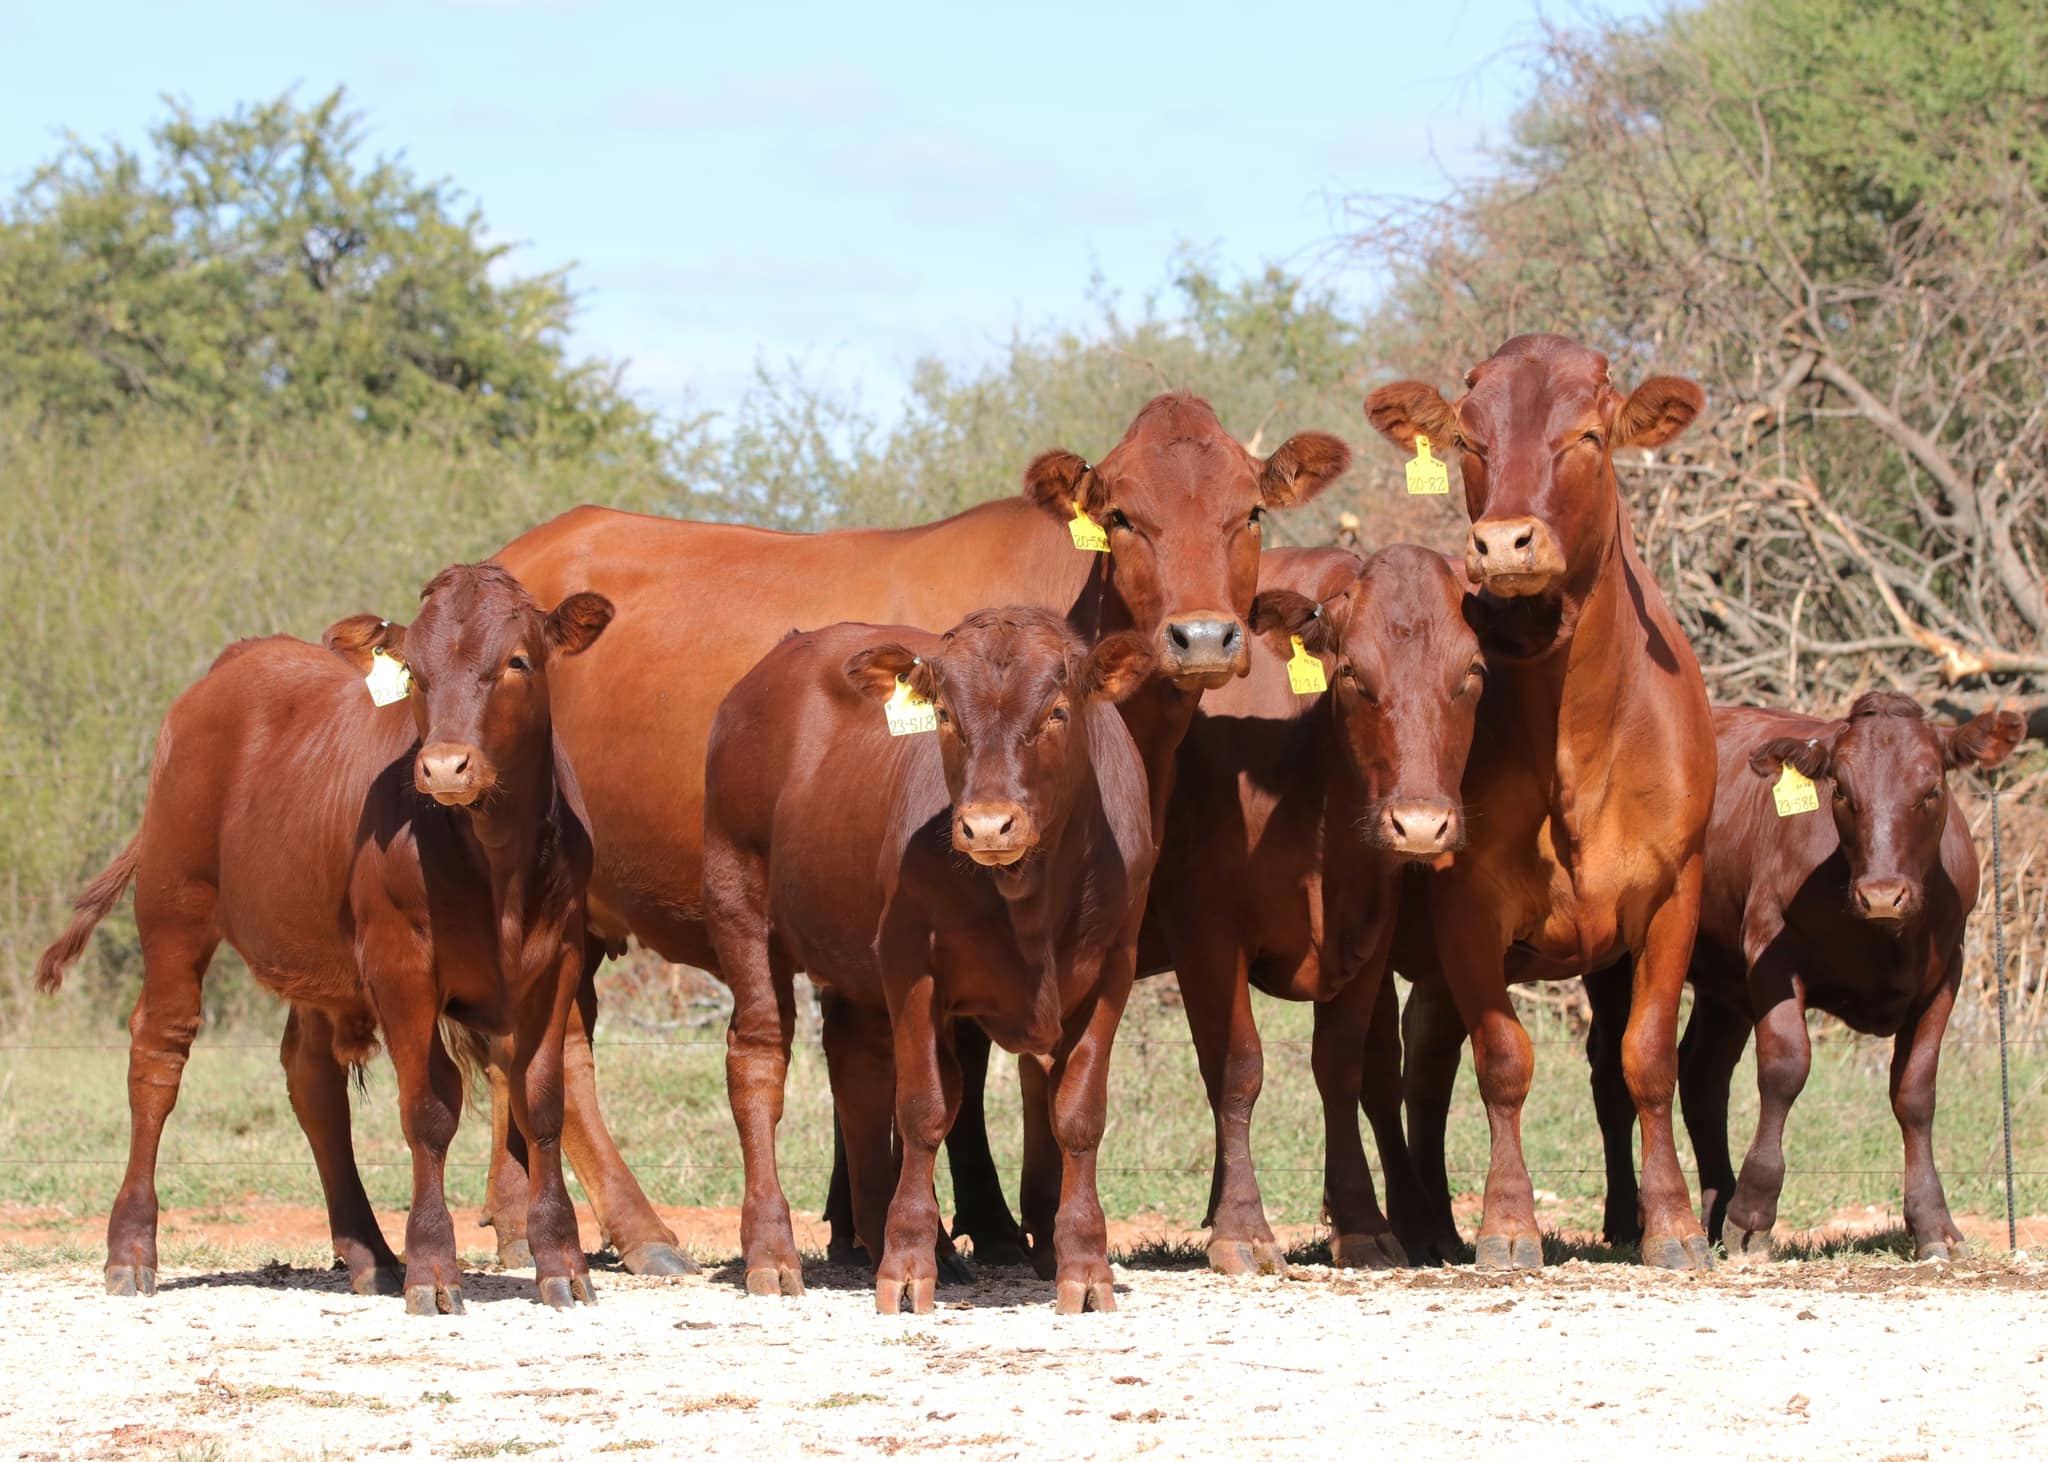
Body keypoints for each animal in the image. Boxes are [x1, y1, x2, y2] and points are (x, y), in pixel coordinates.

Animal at [35, 564, 612, 1314]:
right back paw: (132, 1249)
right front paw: (433, 1267)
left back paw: (369, 1254)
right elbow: (429, 1110)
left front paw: (562, 1261)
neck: (498, 863)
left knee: (312, 1081)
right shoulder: (402, 965)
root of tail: (238, 660)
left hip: (312, 961)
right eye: (416, 674)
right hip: (172, 910)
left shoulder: (560, 959)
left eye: (517, 662)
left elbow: (541, 1100)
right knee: (158, 1056)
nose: (444, 767)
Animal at [701, 606, 1155, 1314]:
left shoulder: (1114, 969)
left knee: (858, 1071)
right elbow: (924, 1109)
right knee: (757, 1063)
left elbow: (1077, 1114)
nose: (988, 825)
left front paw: (1084, 1267)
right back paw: (772, 1251)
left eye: (1057, 711)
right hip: (739, 902)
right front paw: (908, 1264)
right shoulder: (912, 964)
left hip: (853, 967)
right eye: (942, 713)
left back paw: (875, 1235)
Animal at [1148, 544, 1485, 1274]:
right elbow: (1237, 1069)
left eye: (1474, 671)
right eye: (1352, 673)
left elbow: (1341, 1066)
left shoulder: (1366, 932)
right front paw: (1242, 1229)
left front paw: (1360, 1224)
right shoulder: (1204, 930)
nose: (1420, 826)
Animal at [1363, 334, 1719, 1270]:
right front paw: (1508, 1221)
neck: (1576, 743)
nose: (1502, 542)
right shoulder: (1464, 905)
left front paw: (1672, 1224)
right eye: (1468, 441)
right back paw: (1424, 1222)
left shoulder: (1674, 892)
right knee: (1398, 1069)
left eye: (1587, 435)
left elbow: (1645, 1059)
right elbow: (1504, 1060)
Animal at [1578, 695, 2024, 1259]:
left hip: (1724, 985)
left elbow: (1916, 1094)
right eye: (1842, 791)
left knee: (1704, 1074)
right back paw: (1626, 1220)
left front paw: (1933, 1224)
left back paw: (1714, 1210)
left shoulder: (1947, 973)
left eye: (1931, 791)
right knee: (1613, 1073)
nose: (1882, 895)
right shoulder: (1772, 955)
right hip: (1615, 959)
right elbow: (1785, 1069)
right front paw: (1753, 1216)